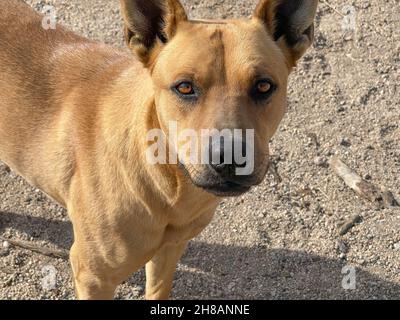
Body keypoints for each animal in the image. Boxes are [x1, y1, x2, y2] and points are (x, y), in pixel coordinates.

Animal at [0, 0, 318, 300]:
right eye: (185, 87)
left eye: (263, 86)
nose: (229, 158)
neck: (169, 184)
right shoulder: (93, 277)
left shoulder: (171, 247)